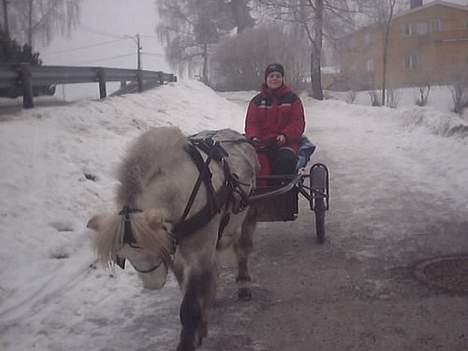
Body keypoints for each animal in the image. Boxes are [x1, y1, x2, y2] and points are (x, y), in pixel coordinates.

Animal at [88, 127, 260, 351]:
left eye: (154, 249)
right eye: (122, 256)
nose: (152, 284)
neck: (180, 189)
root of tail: (238, 136)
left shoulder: (198, 254)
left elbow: (189, 306)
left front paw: (189, 339)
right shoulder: (178, 252)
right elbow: (189, 289)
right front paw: (201, 325)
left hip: (248, 212)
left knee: (243, 248)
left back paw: (243, 282)